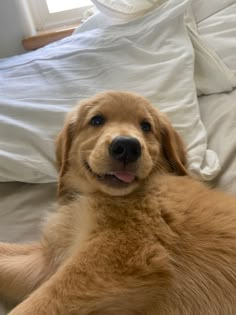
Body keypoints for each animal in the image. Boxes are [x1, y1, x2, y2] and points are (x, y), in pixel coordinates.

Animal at [0, 90, 236, 314]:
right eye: (96, 120)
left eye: (146, 126)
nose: (127, 146)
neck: (98, 195)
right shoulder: (50, 259)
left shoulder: (117, 256)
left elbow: (39, 303)